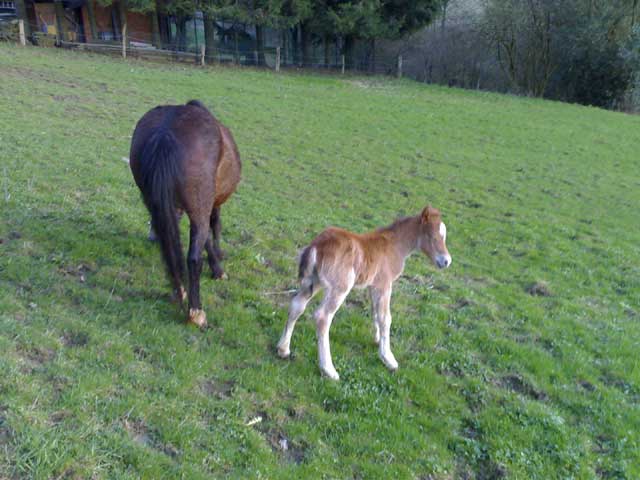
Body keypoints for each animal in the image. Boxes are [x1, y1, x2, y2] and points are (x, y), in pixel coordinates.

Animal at [278, 205, 452, 378]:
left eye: (443, 236)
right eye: (431, 235)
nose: (446, 261)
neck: (395, 246)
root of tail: (317, 246)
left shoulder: (373, 285)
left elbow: (374, 312)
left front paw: (377, 339)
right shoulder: (384, 284)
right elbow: (385, 318)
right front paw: (388, 359)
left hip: (313, 282)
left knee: (297, 305)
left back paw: (283, 349)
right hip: (340, 287)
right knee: (323, 317)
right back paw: (329, 369)